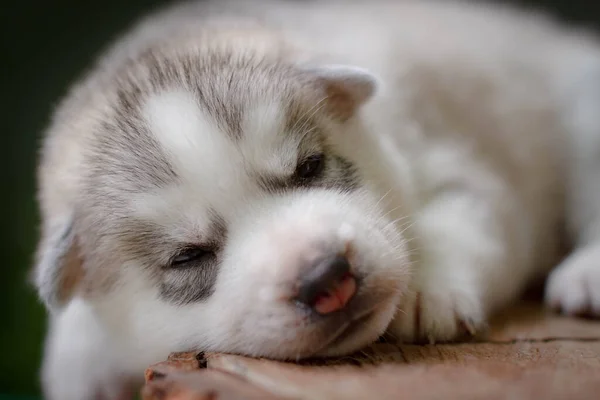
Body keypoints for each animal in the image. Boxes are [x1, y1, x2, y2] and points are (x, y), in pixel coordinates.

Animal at [31, 0, 600, 398]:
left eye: (309, 166)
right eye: (188, 256)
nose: (327, 278)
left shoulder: (455, 165)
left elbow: (458, 217)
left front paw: (428, 291)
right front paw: (78, 364)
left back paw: (585, 276)